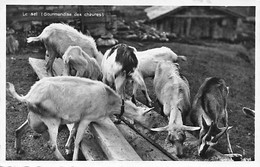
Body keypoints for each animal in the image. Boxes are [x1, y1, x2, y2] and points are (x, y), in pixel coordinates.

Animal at [6, 76, 154, 160]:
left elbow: (72, 131)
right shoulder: (86, 119)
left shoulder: (78, 118)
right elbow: (78, 141)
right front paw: (74, 157)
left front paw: (67, 147)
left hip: (34, 117)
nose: (153, 132)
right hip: (52, 120)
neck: (109, 100)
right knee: (52, 145)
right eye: (151, 117)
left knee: (19, 129)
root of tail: (29, 95)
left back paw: (19, 149)